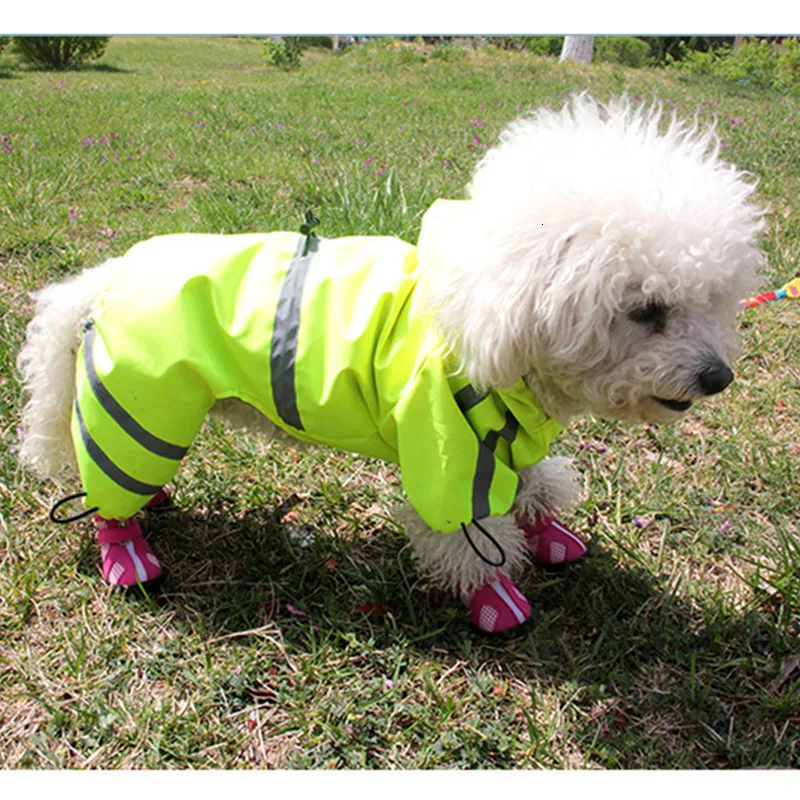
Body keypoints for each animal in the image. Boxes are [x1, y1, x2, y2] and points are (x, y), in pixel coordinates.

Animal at [17, 95, 764, 632]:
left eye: (713, 299)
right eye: (646, 310)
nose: (718, 377)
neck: (482, 314)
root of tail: (107, 277)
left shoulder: (511, 433)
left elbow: (527, 481)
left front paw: (547, 529)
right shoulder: (448, 451)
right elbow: (468, 534)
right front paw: (495, 599)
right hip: (143, 407)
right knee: (108, 495)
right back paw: (130, 557)